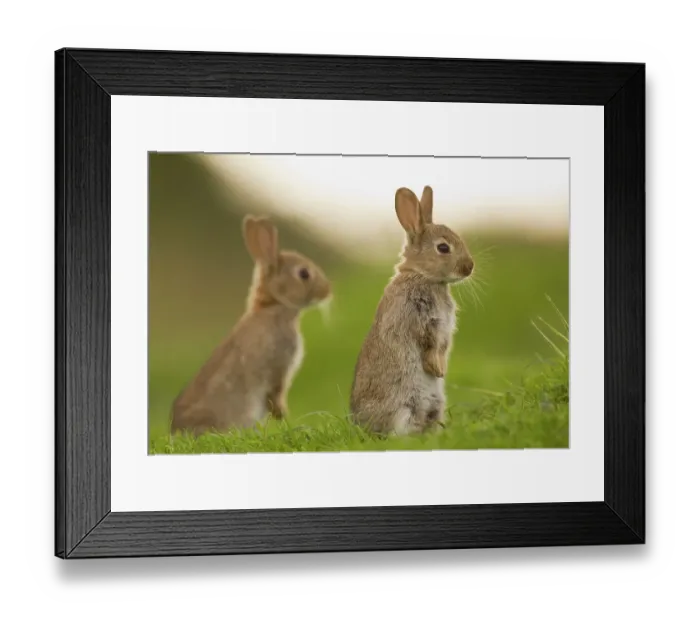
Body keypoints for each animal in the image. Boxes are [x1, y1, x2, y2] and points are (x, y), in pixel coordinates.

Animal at [170, 215, 332, 436]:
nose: (328, 290)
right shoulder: (277, 369)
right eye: (304, 274)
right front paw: (286, 419)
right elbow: (276, 398)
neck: (274, 305)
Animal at [349, 186, 474, 436]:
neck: (423, 276)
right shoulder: (418, 320)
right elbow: (428, 345)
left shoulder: (444, 329)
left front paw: (441, 369)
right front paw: (437, 369)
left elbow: (443, 346)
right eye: (443, 248)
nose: (470, 267)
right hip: (402, 407)